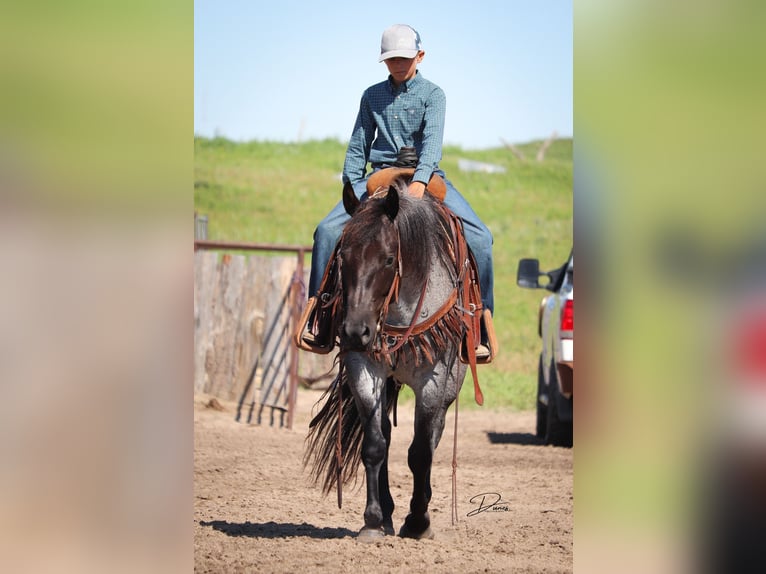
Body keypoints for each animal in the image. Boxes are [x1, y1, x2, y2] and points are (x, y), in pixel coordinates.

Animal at [304, 177, 484, 544]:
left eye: (389, 260)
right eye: (342, 256)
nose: (355, 331)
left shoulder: (435, 381)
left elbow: (420, 453)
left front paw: (417, 522)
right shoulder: (364, 368)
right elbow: (375, 445)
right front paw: (373, 521)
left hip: (448, 389)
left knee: (432, 438)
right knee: (385, 434)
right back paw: (386, 513)